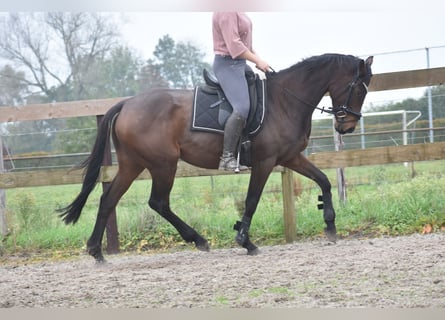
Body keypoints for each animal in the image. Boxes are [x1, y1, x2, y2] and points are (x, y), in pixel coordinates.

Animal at [58, 53, 372, 262]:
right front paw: (245, 241)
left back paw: (97, 251)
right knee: (158, 202)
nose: (347, 127)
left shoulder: (290, 158)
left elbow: (324, 181)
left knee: (109, 199)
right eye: (358, 88)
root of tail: (126, 104)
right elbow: (252, 200)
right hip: (163, 164)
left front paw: (330, 224)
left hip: (133, 164)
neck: (284, 101)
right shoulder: (265, 162)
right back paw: (197, 239)